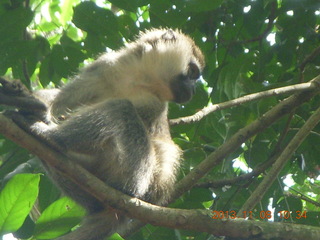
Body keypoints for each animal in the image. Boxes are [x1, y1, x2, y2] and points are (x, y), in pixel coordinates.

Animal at [7, 28, 205, 240]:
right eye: (192, 73)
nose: (194, 89)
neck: (139, 77)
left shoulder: (156, 104)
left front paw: (40, 113)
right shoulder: (104, 66)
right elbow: (61, 100)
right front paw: (28, 100)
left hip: (137, 176)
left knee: (120, 109)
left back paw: (52, 137)